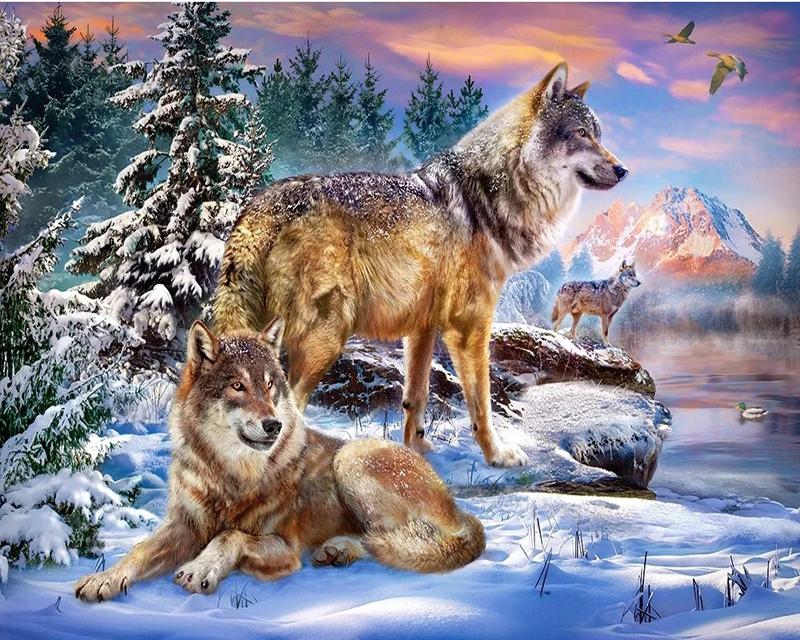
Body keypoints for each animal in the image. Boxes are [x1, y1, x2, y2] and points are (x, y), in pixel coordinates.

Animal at [75, 320, 484, 602]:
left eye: (270, 385)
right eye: (237, 386)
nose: (274, 424)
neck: (229, 477)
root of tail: (457, 507)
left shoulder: (285, 548)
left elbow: (229, 535)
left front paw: (201, 568)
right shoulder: (184, 526)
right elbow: (139, 551)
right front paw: (103, 580)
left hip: (352, 459)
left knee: (399, 540)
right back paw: (336, 551)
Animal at [212, 62, 627, 468]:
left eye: (599, 135)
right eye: (582, 134)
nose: (622, 170)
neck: (493, 195)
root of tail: (261, 207)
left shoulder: (422, 328)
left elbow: (416, 397)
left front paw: (417, 451)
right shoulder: (469, 326)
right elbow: (481, 403)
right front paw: (497, 455)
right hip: (324, 341)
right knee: (287, 418)